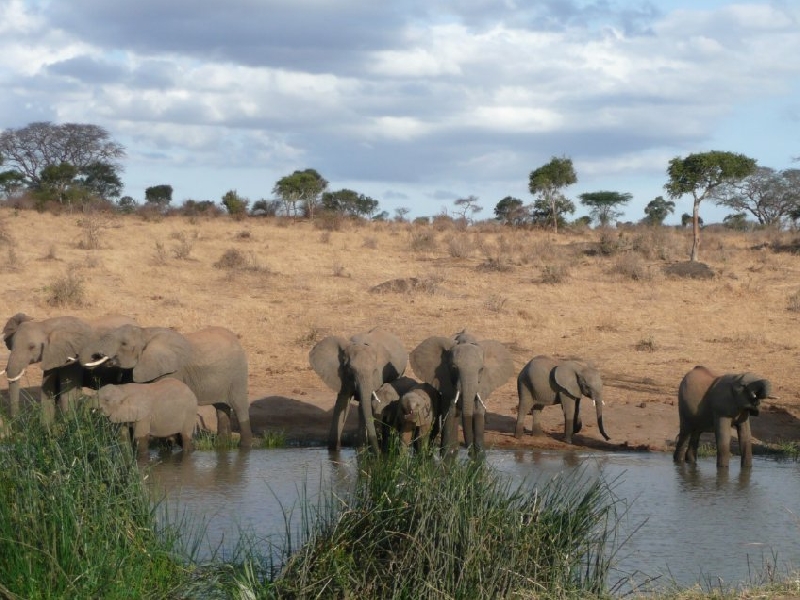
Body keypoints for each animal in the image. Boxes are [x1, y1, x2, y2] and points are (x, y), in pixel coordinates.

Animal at [1, 312, 136, 420]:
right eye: (11, 345)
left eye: (31, 347)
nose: (16, 420)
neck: (46, 325)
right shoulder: (52, 356)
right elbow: (47, 390)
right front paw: (48, 432)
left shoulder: (71, 358)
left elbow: (67, 393)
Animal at [79, 326, 252, 448]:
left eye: (124, 344)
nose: (100, 355)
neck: (145, 332)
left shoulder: (172, 370)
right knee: (221, 408)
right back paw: (222, 445)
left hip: (238, 374)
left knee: (239, 406)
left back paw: (244, 446)